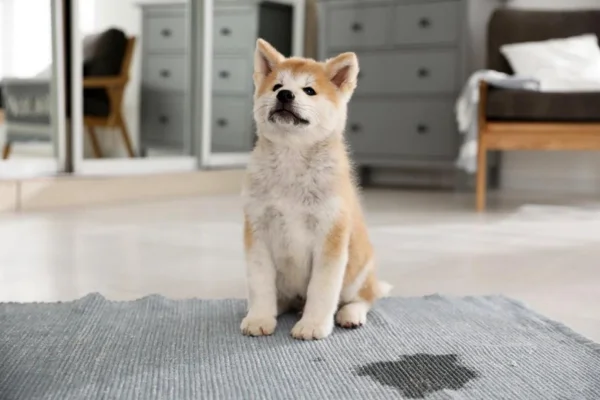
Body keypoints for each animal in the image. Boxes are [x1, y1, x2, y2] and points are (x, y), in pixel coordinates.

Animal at [241, 38, 392, 340]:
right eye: (277, 85)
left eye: (309, 90)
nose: (285, 95)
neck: (292, 160)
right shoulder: (258, 230)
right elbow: (260, 284)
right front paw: (259, 318)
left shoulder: (330, 235)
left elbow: (322, 290)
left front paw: (312, 325)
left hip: (357, 271)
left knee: (365, 298)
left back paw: (351, 314)